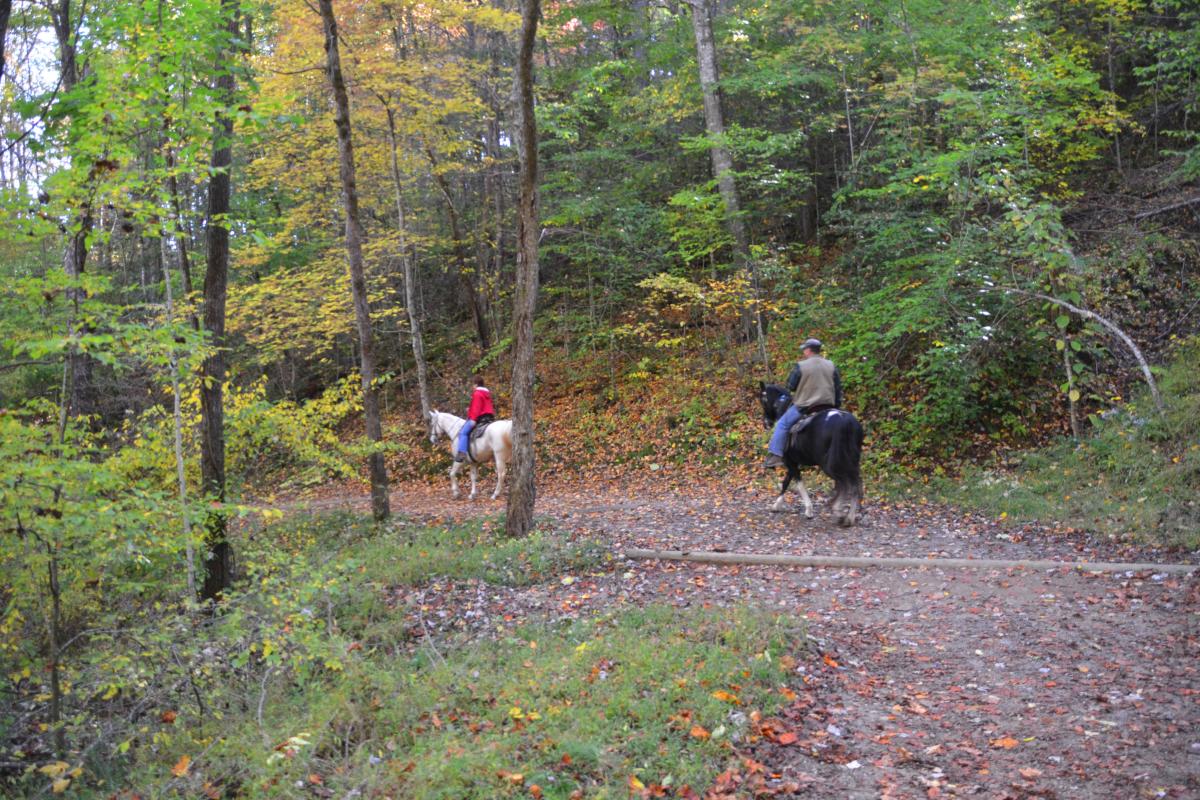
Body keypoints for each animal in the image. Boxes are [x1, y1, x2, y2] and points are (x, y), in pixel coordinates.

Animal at [758, 383, 864, 525]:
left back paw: (839, 510)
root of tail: (844, 420)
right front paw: (777, 505)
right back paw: (850, 516)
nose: (766, 423)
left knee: (844, 483)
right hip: (850, 460)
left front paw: (808, 510)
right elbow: (787, 481)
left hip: (829, 464)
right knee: (854, 484)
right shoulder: (793, 462)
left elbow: (798, 483)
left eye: (762, 399)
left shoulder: (790, 462)